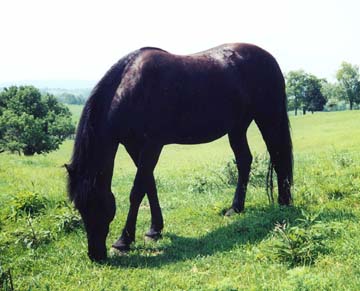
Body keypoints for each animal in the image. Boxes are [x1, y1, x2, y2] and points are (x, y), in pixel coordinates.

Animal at [66, 43, 294, 262]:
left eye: (98, 205)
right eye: (80, 207)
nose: (95, 255)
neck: (131, 88)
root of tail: (269, 58)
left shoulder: (152, 145)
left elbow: (137, 191)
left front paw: (124, 241)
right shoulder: (134, 146)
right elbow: (149, 185)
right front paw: (154, 229)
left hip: (268, 117)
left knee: (278, 156)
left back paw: (283, 204)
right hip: (237, 128)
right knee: (244, 160)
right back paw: (235, 208)